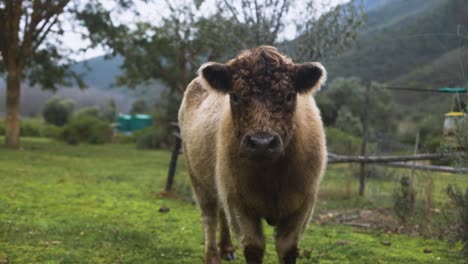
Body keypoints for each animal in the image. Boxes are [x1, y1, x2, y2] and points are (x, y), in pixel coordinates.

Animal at [177, 46, 328, 264]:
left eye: (289, 95)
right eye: (235, 96)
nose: (261, 143)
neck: (271, 176)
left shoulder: (303, 204)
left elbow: (288, 249)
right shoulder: (238, 202)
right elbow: (254, 248)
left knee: (220, 213)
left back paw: (227, 248)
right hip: (197, 177)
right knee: (209, 216)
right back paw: (212, 256)